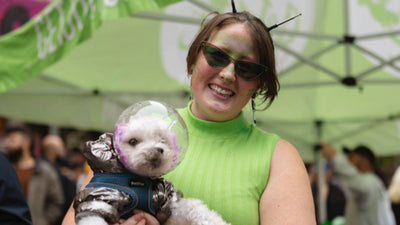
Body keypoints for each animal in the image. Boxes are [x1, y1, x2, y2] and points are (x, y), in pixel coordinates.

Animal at [73, 102, 230, 225]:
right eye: (133, 141)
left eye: (162, 139)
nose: (157, 151)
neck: (137, 180)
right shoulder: (97, 201)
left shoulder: (166, 205)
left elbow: (194, 207)